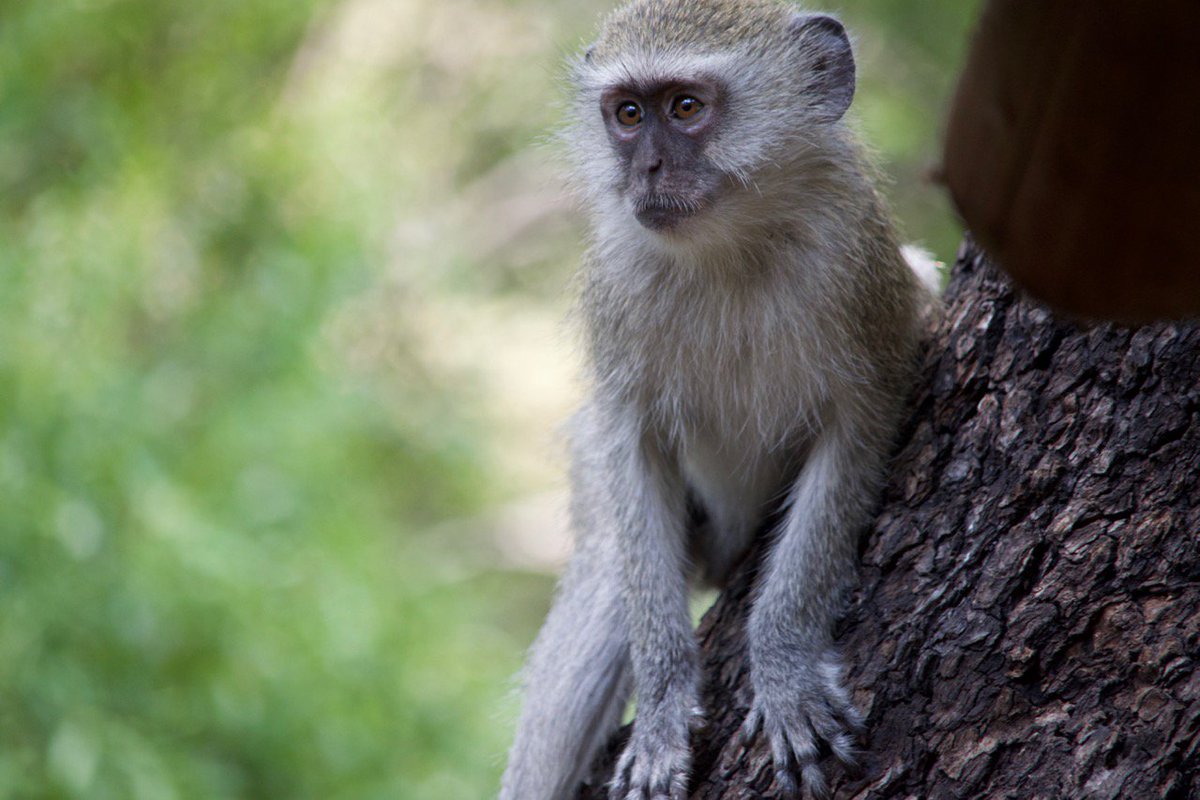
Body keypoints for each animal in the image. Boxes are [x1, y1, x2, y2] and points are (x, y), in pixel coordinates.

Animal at [500, 1, 938, 798]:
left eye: (686, 107)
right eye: (629, 114)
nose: (646, 169)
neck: (731, 250)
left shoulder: (864, 283)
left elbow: (854, 436)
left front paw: (785, 665)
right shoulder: (618, 294)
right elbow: (629, 447)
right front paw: (665, 706)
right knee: (609, 576)